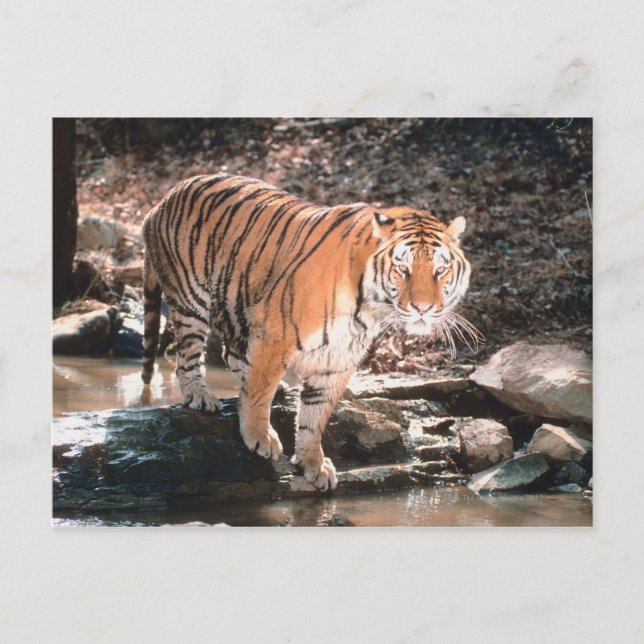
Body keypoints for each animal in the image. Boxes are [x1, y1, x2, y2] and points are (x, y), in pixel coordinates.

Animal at [141, 173, 477, 491]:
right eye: (403, 269)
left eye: (440, 270)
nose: (423, 308)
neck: (368, 309)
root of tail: (161, 201)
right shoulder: (276, 334)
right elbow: (260, 391)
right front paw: (259, 435)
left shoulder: (338, 357)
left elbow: (315, 416)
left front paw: (313, 462)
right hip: (191, 300)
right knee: (186, 358)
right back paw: (200, 395)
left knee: (230, 352)